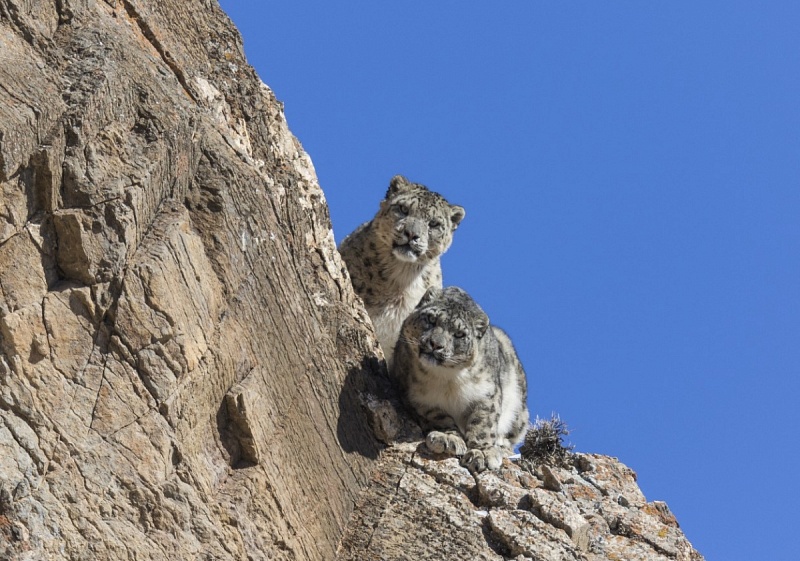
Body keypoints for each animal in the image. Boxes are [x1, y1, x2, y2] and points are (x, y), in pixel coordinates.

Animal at [390, 286, 528, 470]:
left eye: (459, 334)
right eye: (431, 319)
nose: (435, 344)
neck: (446, 380)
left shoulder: (486, 395)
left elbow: (482, 425)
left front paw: (482, 452)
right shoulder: (419, 400)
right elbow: (439, 419)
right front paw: (448, 438)